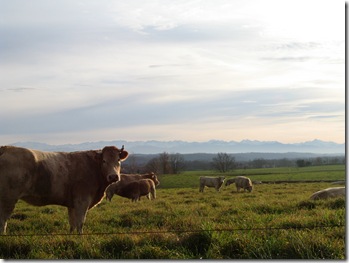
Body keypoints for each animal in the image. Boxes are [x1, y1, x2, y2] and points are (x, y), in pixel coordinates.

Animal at [0, 145, 128, 234]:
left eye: (118, 160)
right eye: (104, 161)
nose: (113, 176)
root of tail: (6, 148)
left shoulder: (72, 204)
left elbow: (72, 224)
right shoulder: (82, 200)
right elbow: (80, 223)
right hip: (8, 199)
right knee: (3, 221)